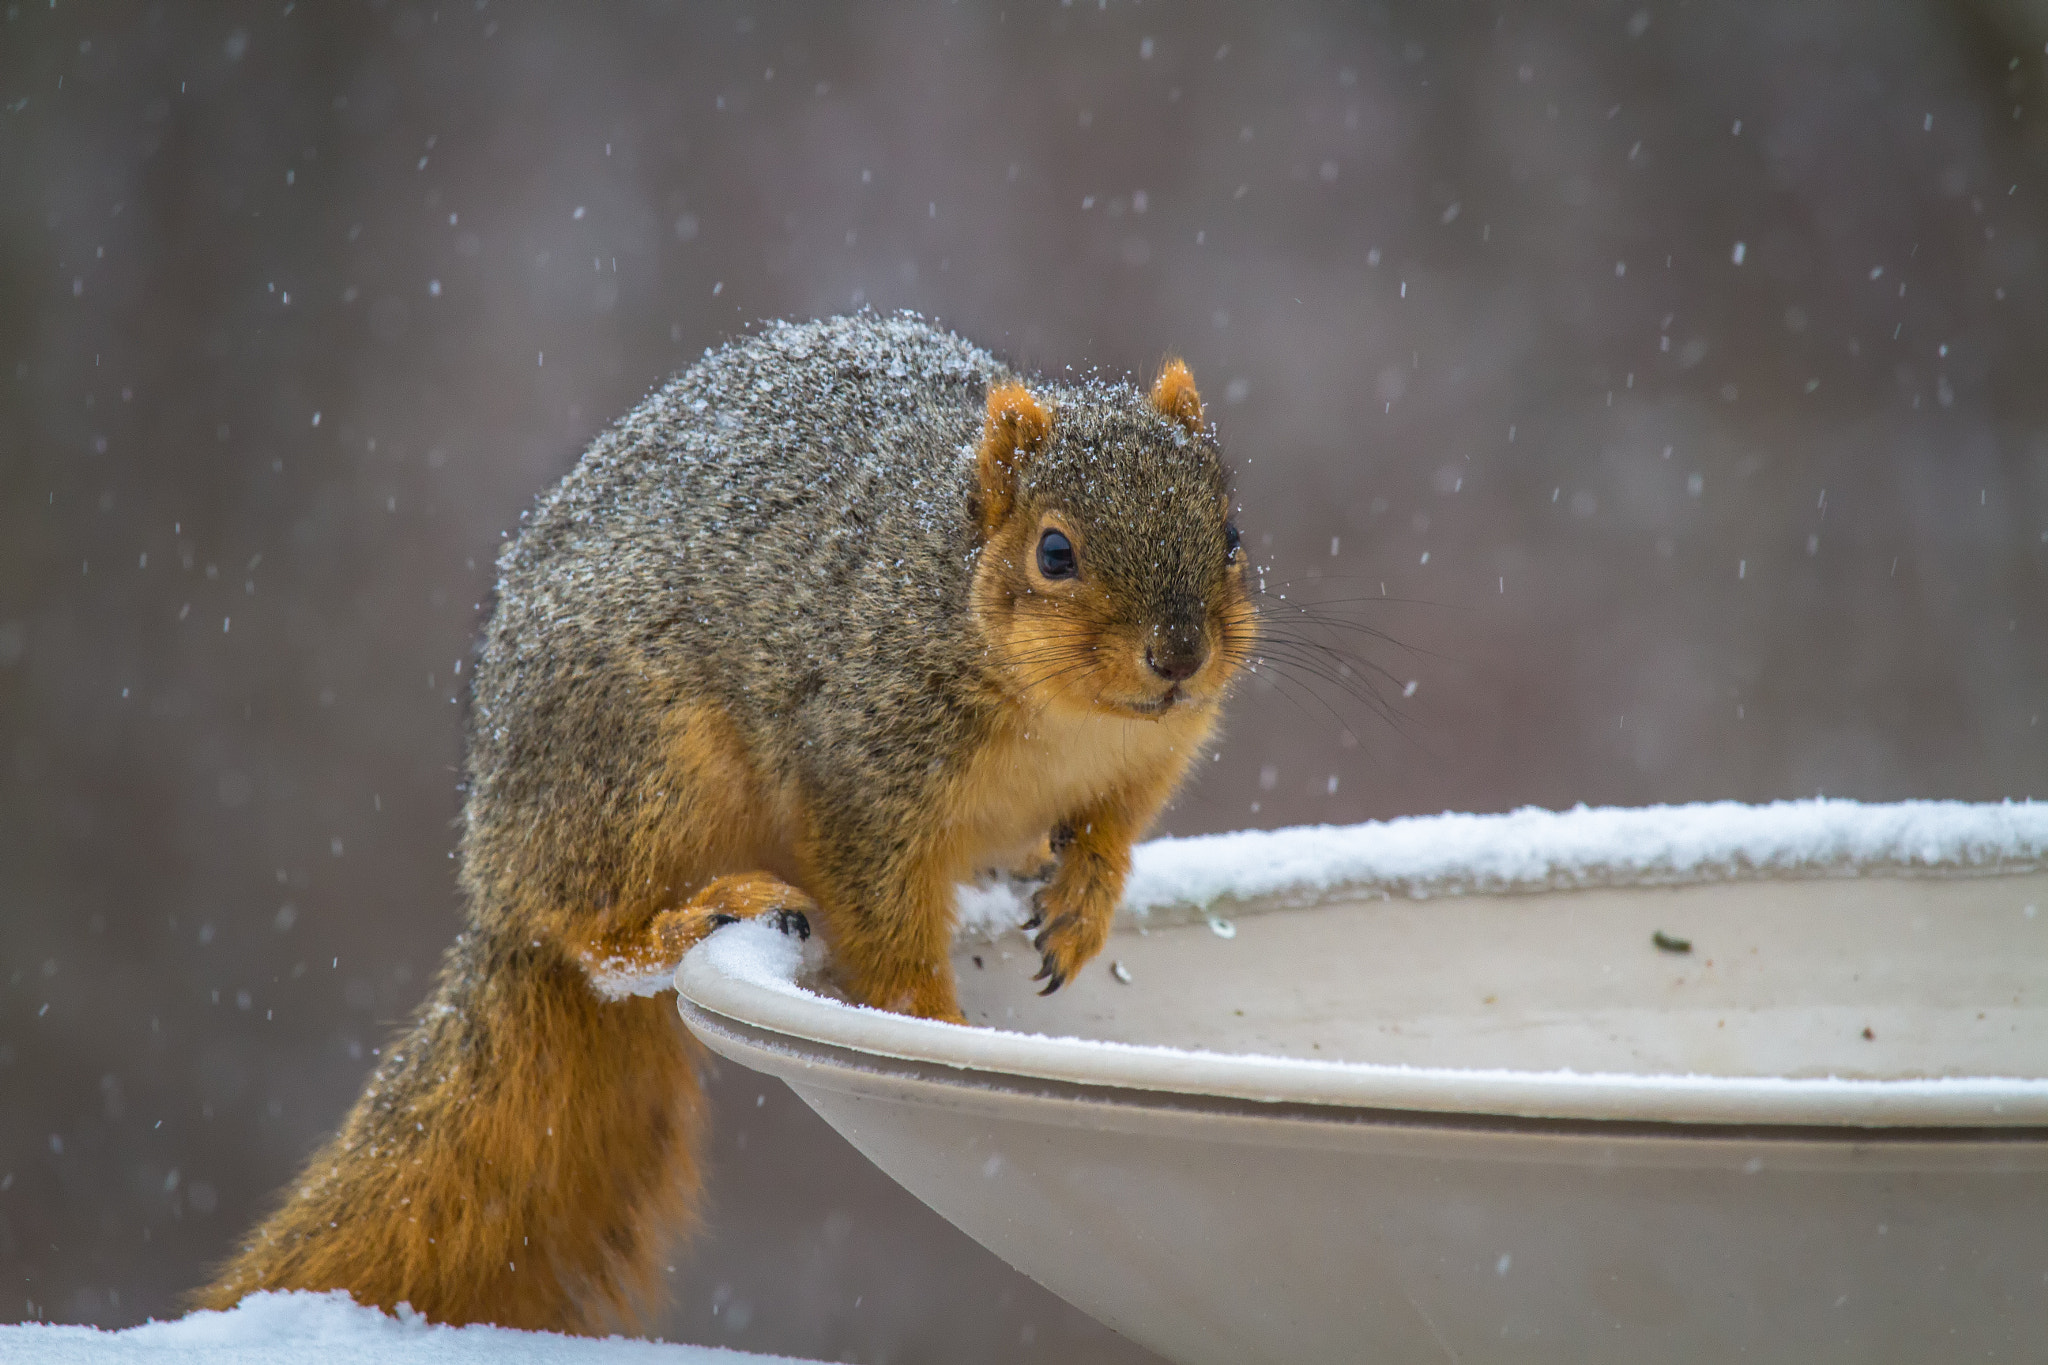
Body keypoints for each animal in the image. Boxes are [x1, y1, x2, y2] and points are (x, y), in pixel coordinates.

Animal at [195, 313, 1255, 1332]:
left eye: (1233, 532)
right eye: (1055, 552)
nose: (1179, 654)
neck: (1065, 723)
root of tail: (498, 875)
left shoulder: (1143, 764)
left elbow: (1108, 834)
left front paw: (1081, 902)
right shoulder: (856, 766)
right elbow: (882, 912)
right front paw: (931, 1021)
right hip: (636, 764)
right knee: (588, 933)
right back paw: (683, 918)